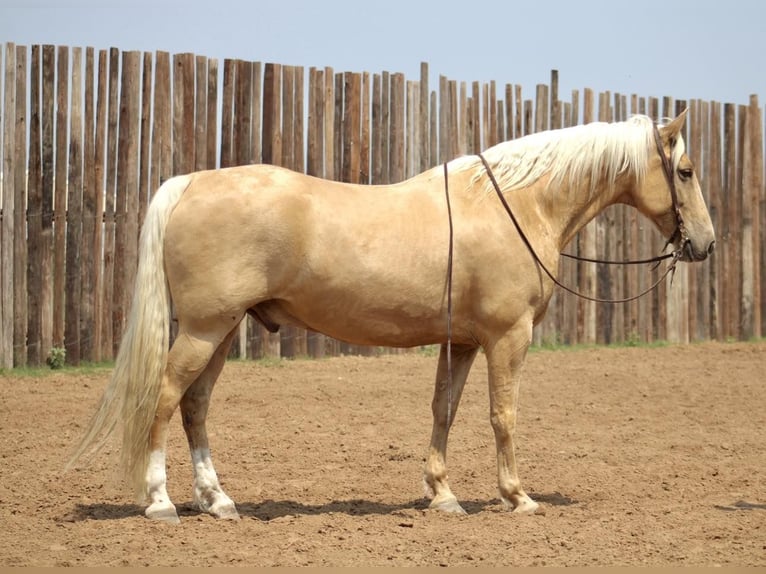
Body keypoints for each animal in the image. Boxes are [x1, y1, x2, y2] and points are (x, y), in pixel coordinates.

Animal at [69, 110, 716, 524]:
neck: (515, 203)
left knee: (195, 407)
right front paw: (517, 497)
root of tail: (190, 183)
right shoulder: (508, 337)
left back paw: (218, 501)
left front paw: (443, 495)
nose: (705, 244)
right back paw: (161, 502)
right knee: (164, 400)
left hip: (222, 331)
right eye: (684, 171)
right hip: (206, 330)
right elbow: (502, 415)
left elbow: (444, 411)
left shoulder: (462, 342)